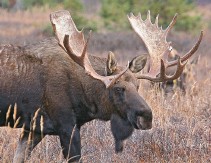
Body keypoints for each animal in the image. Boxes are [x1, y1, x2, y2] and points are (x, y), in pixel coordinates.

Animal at [0, 10, 203, 162]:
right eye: (118, 88)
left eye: (138, 86)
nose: (147, 117)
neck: (86, 99)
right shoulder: (66, 125)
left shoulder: (34, 128)